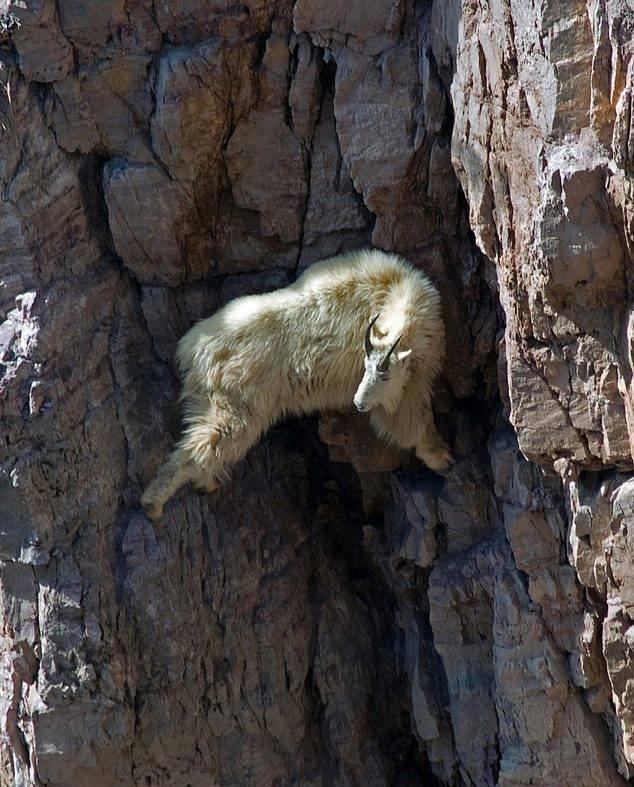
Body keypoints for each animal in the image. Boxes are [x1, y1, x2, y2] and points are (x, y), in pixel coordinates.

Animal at [142, 249, 450, 520]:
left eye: (383, 375)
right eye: (366, 368)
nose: (358, 403)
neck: (394, 292)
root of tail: (192, 348)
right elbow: (408, 415)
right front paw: (441, 455)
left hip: (211, 391)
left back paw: (205, 482)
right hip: (239, 389)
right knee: (220, 433)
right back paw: (154, 503)